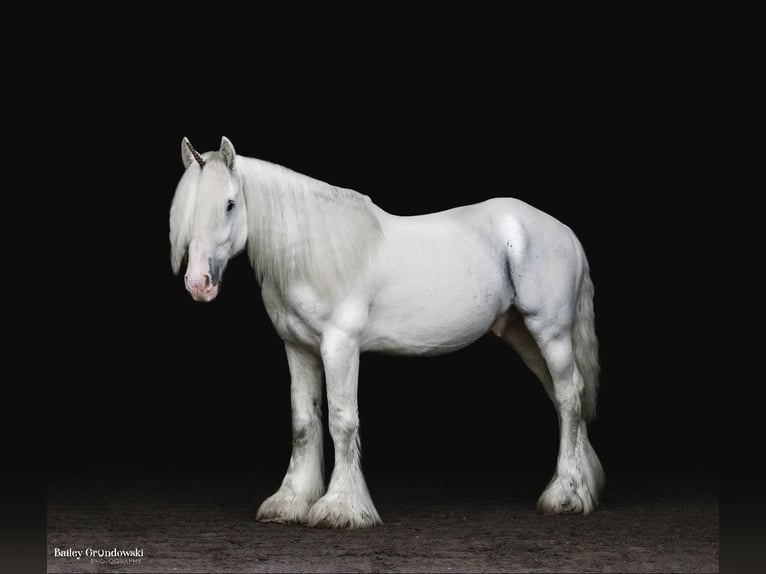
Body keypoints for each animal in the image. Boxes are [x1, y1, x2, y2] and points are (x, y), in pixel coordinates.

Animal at [170, 136, 608, 532]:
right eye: (186, 211)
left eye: (229, 204)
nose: (198, 283)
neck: (318, 254)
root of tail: (564, 232)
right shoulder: (298, 348)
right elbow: (304, 422)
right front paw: (290, 502)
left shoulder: (340, 346)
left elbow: (342, 420)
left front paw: (340, 509)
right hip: (523, 335)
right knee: (564, 396)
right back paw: (583, 486)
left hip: (550, 331)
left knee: (569, 398)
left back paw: (564, 496)